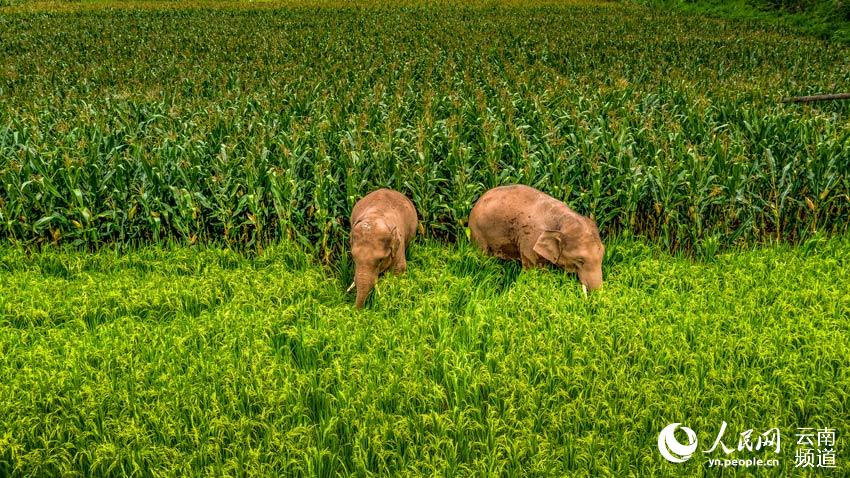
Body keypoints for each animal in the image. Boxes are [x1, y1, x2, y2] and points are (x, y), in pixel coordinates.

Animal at [469, 184, 604, 294]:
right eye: (580, 260)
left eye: (602, 255)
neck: (562, 219)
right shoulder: (531, 240)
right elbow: (533, 270)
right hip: (477, 231)